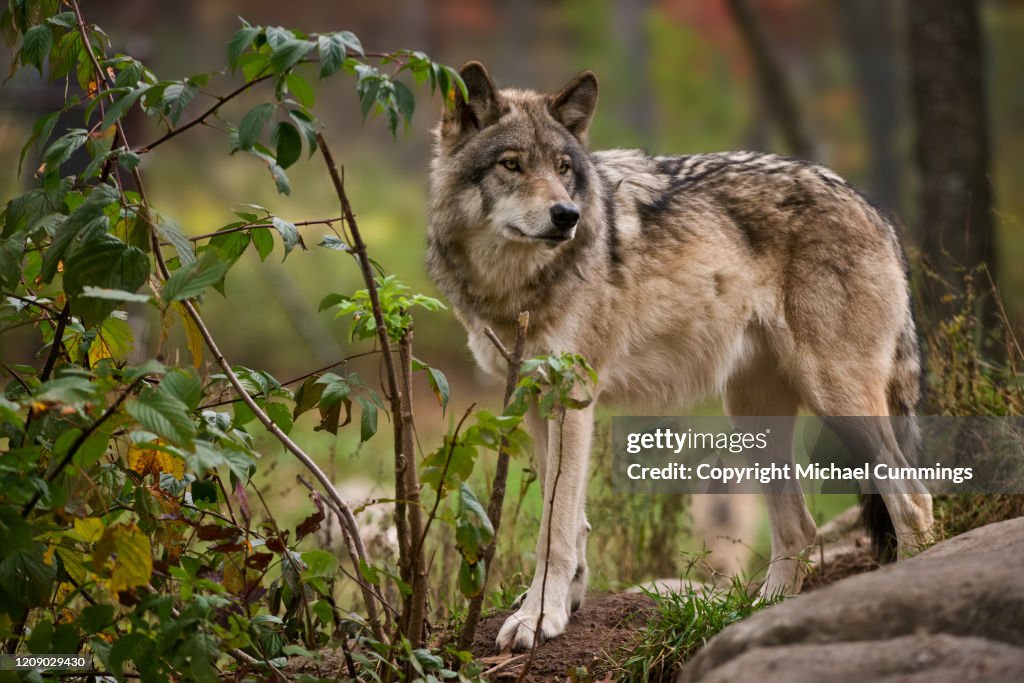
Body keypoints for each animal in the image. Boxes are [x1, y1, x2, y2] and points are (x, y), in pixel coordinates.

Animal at [423, 62, 937, 651]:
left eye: (562, 168)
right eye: (512, 164)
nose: (566, 216)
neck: (518, 286)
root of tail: (877, 212)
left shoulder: (572, 397)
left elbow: (554, 525)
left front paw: (537, 619)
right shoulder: (535, 398)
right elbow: (572, 521)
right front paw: (562, 603)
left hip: (837, 400)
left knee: (912, 500)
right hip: (753, 418)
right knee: (801, 527)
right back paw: (756, 619)